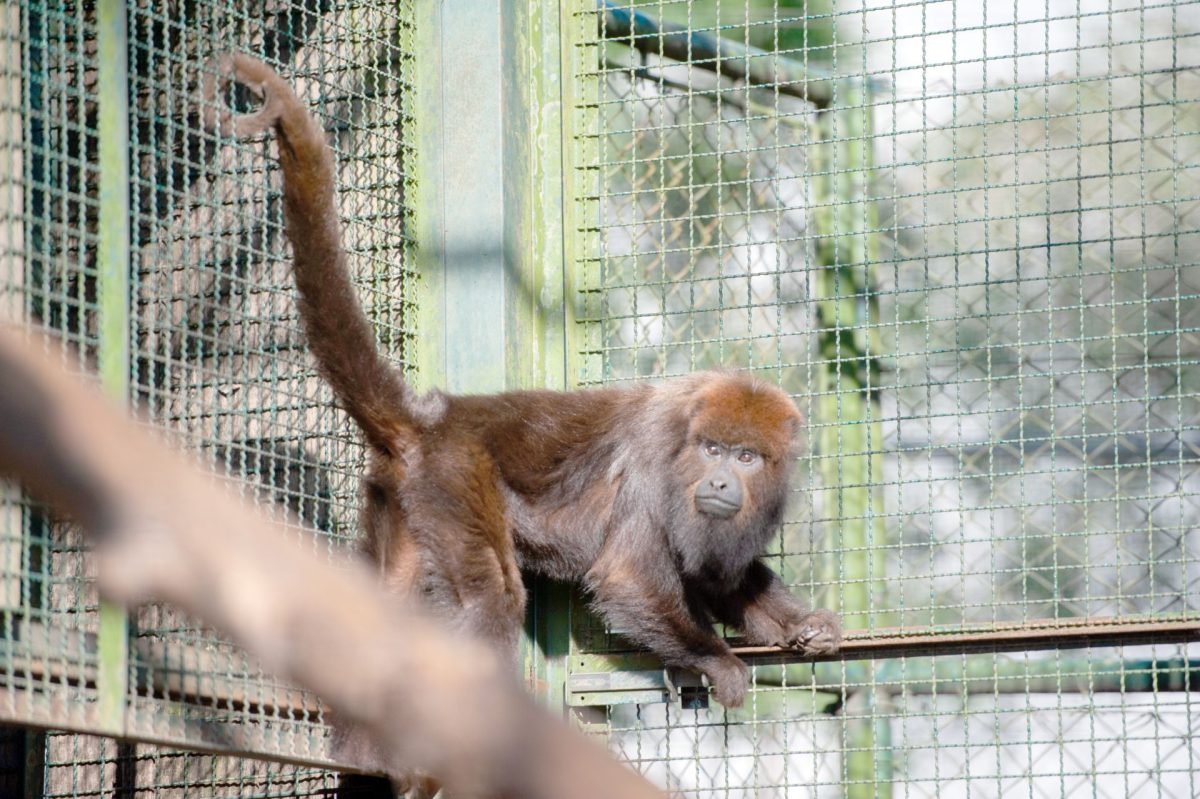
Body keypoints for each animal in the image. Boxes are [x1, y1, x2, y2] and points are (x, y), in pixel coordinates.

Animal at [201, 51, 840, 710]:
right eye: (712, 450)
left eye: (745, 457)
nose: (717, 481)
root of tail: (433, 419)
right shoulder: (655, 460)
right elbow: (628, 579)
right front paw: (716, 659)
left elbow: (720, 575)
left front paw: (801, 624)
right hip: (454, 475)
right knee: (492, 597)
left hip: (401, 501)